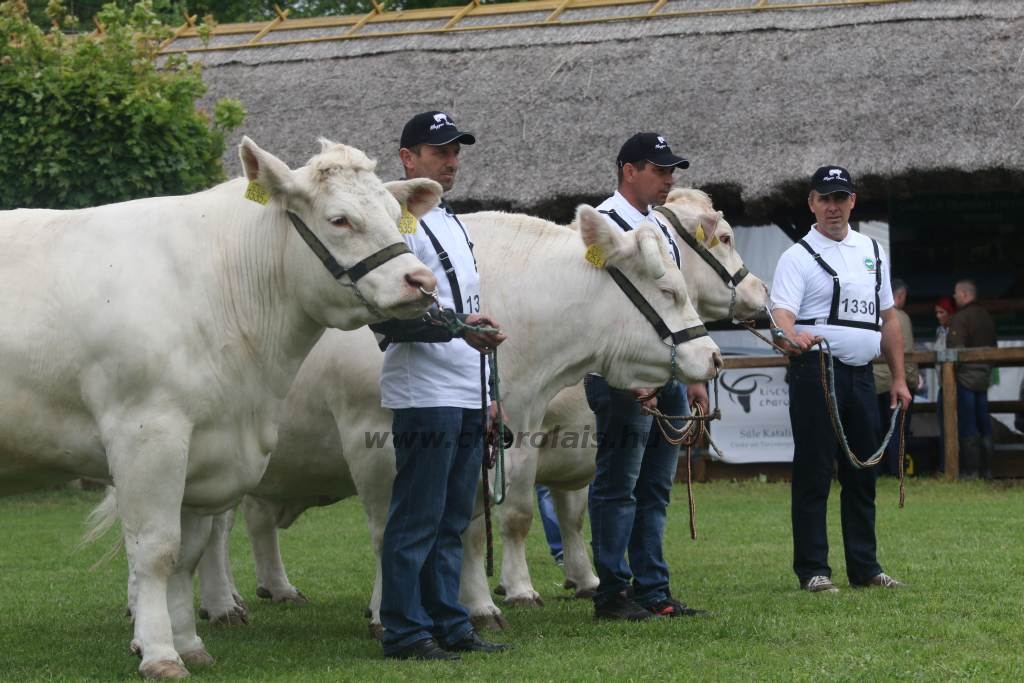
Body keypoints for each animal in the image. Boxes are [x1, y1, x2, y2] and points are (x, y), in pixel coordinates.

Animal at [0, 135, 436, 679]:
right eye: (339, 219)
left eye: (396, 215)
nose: (420, 280)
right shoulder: (147, 433)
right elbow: (156, 550)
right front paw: (161, 654)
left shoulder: (207, 449)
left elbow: (188, 553)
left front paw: (188, 643)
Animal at [193, 204, 720, 634]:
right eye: (669, 290)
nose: (713, 357)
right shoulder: (373, 440)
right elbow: (390, 529)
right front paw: (388, 614)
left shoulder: (500, 438)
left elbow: (470, 526)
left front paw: (479, 606)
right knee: (215, 532)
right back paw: (221, 605)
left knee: (234, 524)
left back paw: (259, 592)